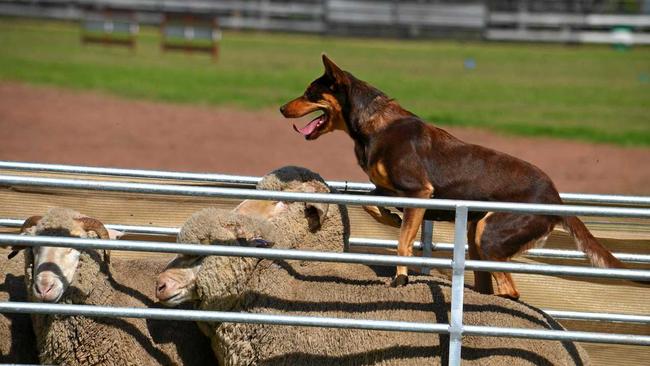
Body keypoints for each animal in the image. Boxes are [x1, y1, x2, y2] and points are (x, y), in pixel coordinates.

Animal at [278, 55, 624, 298]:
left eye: (310, 93)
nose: (281, 108)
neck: (374, 126)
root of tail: (556, 198)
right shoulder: (387, 190)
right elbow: (370, 205)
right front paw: (390, 217)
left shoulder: (418, 192)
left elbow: (403, 243)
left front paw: (400, 278)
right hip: (475, 236)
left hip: (490, 235)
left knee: (511, 291)